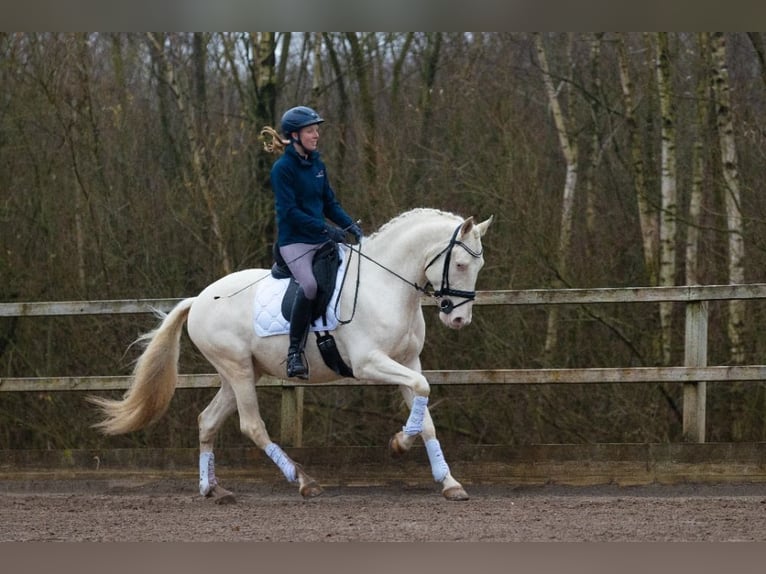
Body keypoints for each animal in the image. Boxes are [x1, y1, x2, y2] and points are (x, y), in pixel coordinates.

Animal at [90, 208, 496, 504]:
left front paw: (449, 482)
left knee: (208, 421)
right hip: (238, 370)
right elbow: (423, 391)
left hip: (239, 373)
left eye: (479, 266)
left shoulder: (408, 361)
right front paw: (399, 444)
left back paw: (213, 489)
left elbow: (425, 414)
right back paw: (302, 480)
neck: (385, 285)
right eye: (461, 264)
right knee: (251, 426)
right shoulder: (370, 362)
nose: (458, 319)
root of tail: (199, 299)